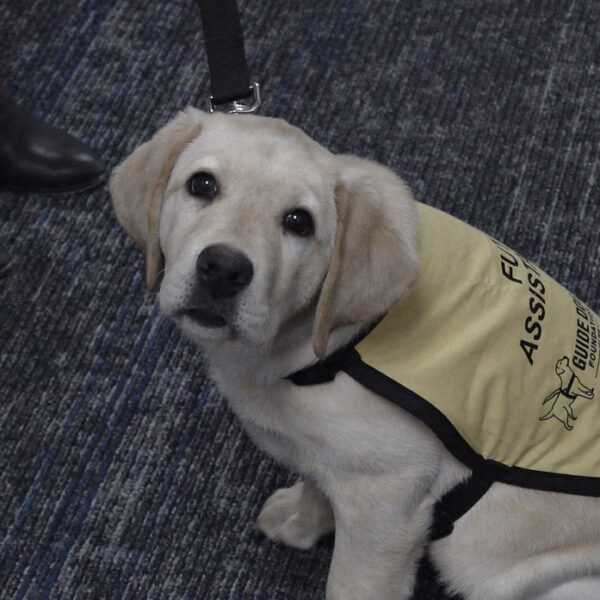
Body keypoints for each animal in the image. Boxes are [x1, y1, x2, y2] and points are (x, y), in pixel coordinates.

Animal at [110, 110, 600, 600]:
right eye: (203, 185)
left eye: (299, 222)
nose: (223, 269)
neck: (320, 348)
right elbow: (317, 479)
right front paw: (302, 518)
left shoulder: (388, 498)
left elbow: (352, 582)